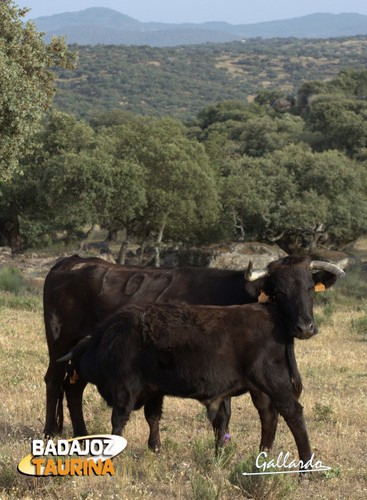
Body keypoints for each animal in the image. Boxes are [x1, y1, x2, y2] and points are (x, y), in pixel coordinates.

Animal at [57, 256, 344, 456]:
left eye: (310, 288)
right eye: (279, 291)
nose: (305, 327)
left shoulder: (126, 389)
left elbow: (121, 420)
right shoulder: (152, 388)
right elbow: (154, 416)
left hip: (271, 382)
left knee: (288, 413)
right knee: (60, 386)